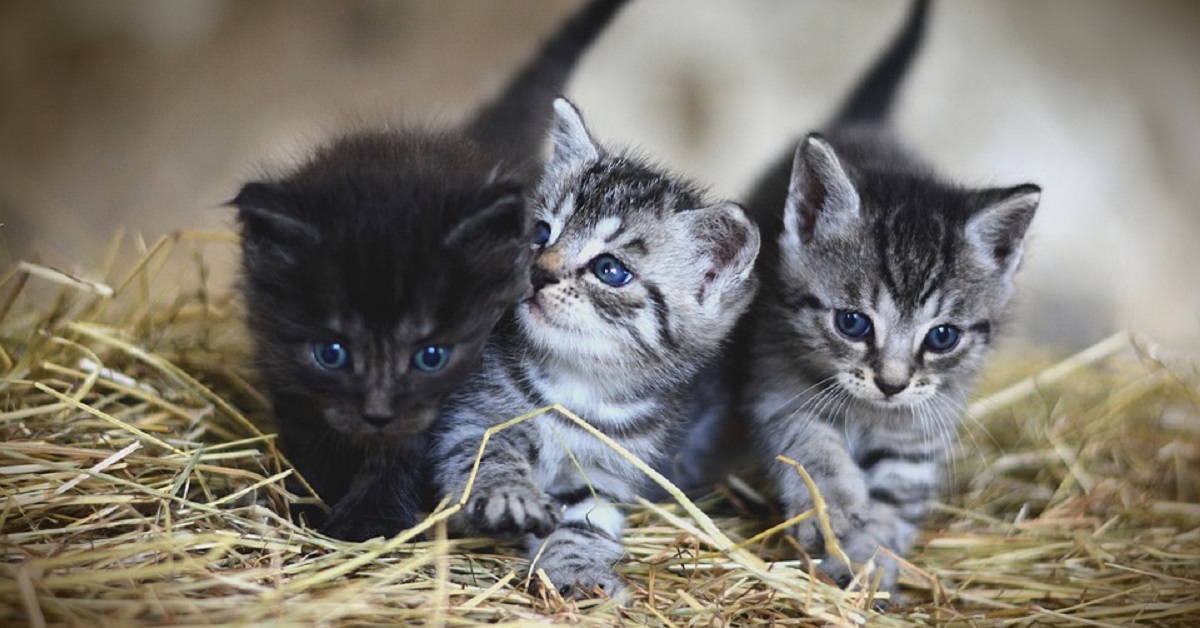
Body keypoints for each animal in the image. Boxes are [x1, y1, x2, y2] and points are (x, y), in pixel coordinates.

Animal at [228, 0, 633, 540]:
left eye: (431, 356)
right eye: (331, 353)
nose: (378, 413)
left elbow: (405, 451)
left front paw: (370, 520)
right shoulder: (285, 372)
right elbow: (313, 437)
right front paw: (314, 501)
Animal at [432, 97, 758, 600]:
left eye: (610, 269)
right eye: (540, 233)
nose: (539, 272)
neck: (578, 384)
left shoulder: (605, 476)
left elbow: (583, 524)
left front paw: (579, 573)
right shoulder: (470, 418)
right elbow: (485, 455)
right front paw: (509, 494)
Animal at [691, 0, 1046, 597]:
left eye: (942, 337)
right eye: (853, 324)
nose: (892, 384)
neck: (867, 412)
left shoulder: (923, 427)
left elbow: (896, 497)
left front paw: (871, 560)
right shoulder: (776, 386)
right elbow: (813, 452)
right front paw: (836, 518)